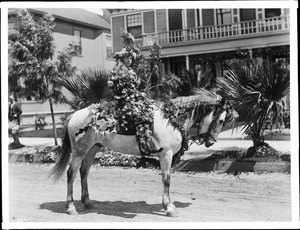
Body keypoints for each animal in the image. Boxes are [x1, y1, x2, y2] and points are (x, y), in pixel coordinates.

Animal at [51, 90, 232, 217]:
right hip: (80, 151)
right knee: (71, 173)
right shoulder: (166, 155)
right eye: (221, 120)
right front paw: (169, 208)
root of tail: (74, 115)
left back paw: (87, 202)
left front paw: (167, 205)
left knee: (84, 172)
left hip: (92, 149)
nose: (210, 142)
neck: (171, 118)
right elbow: (166, 180)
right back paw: (71, 207)